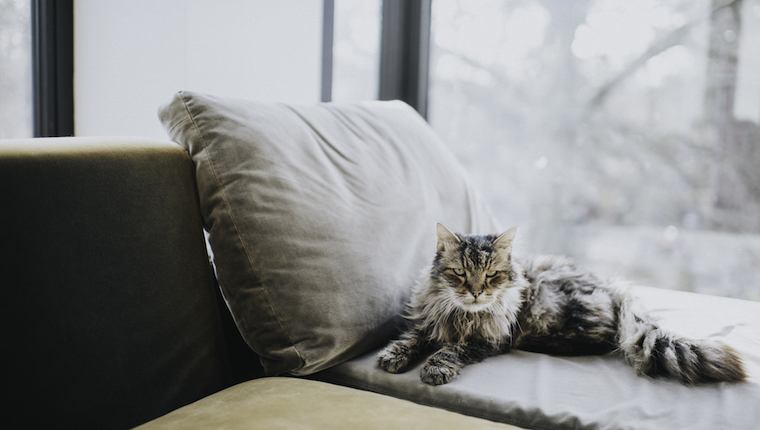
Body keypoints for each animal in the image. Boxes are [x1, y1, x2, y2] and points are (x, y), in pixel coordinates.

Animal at [378, 225, 744, 386]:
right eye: (460, 273)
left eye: (492, 275)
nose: (477, 292)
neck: (463, 315)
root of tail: (614, 289)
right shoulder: (427, 320)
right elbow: (412, 338)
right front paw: (393, 356)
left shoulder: (489, 341)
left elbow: (451, 350)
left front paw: (435, 367)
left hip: (551, 305)